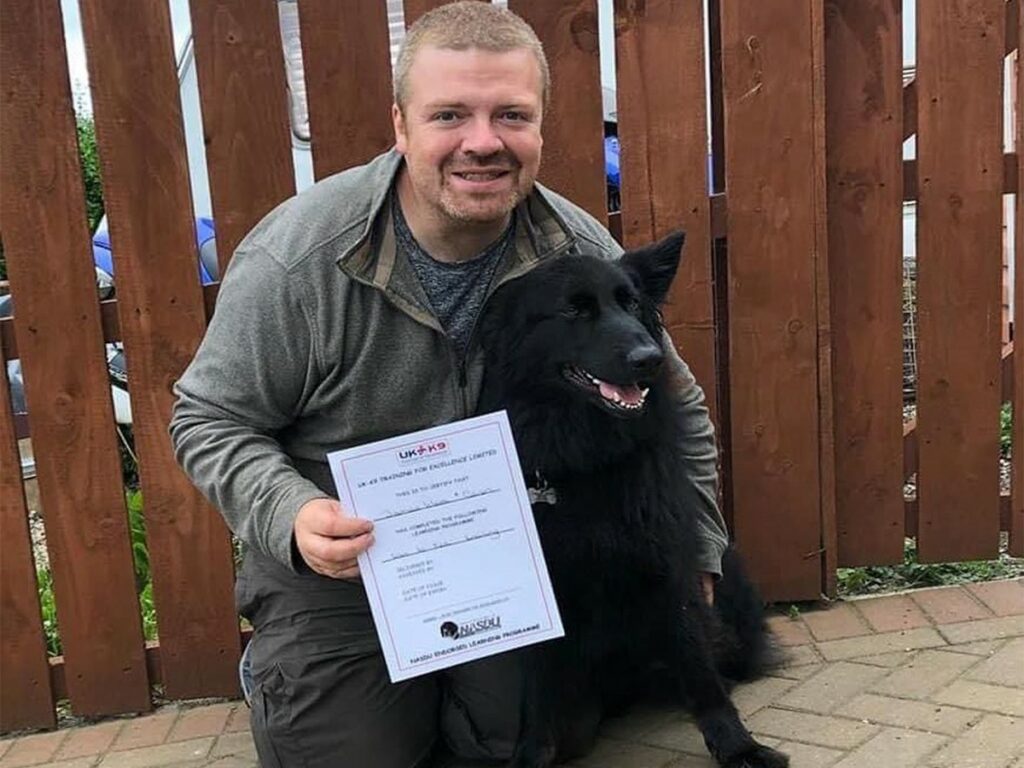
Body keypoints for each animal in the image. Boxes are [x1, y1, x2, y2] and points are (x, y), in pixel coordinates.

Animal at [475, 233, 786, 768]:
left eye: (632, 304)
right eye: (574, 310)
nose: (650, 358)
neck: (587, 458)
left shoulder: (669, 571)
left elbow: (698, 669)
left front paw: (737, 745)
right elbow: (538, 694)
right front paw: (532, 753)